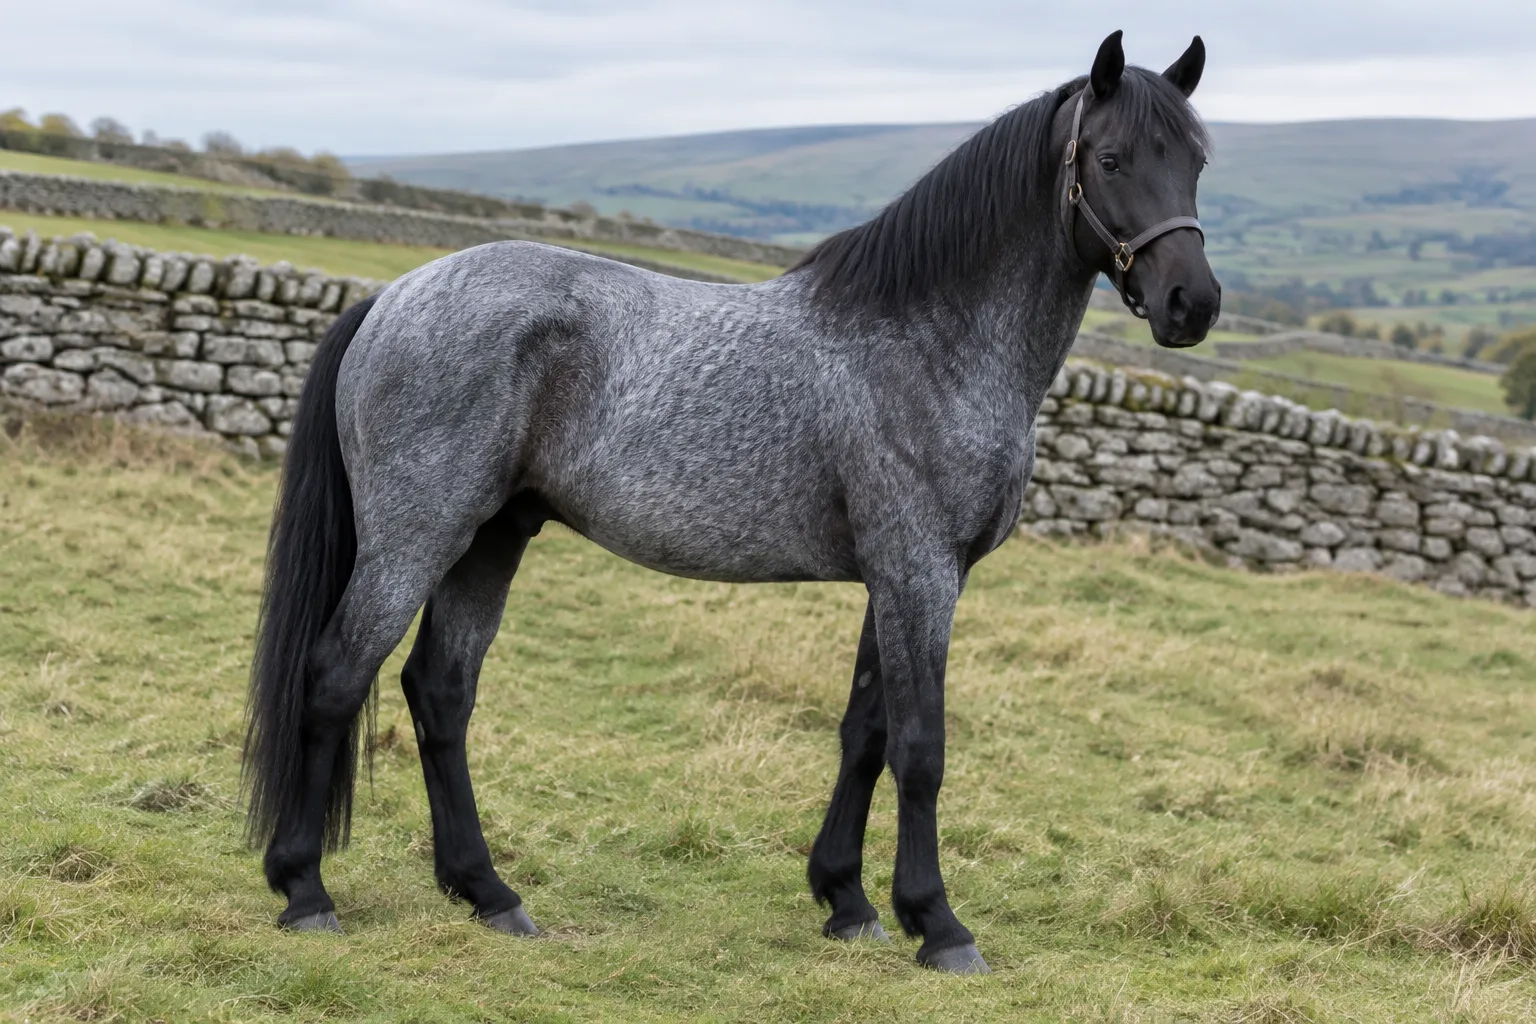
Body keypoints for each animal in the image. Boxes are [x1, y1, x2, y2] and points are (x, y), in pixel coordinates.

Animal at [242, 30, 1219, 974]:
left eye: (1198, 160)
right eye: (1111, 157)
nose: (1193, 303)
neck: (927, 340)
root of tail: (392, 297)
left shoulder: (897, 578)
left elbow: (865, 733)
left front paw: (848, 902)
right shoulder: (919, 573)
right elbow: (921, 748)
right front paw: (938, 924)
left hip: (493, 536)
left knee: (440, 692)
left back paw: (488, 893)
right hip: (416, 537)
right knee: (335, 678)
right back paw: (305, 891)